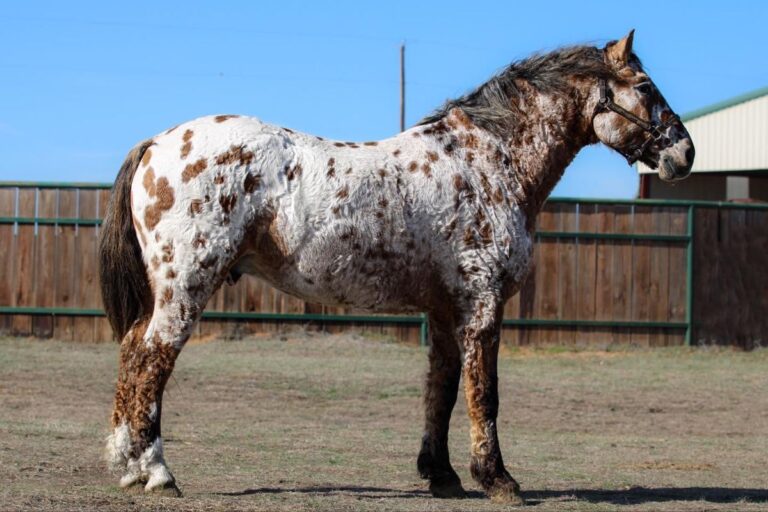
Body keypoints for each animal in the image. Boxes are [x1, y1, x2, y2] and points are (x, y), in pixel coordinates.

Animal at [100, 30, 693, 503]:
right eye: (645, 86)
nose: (684, 153)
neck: (486, 162)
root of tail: (158, 142)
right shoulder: (482, 307)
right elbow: (484, 392)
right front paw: (498, 479)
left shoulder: (447, 311)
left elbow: (443, 389)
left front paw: (443, 476)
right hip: (185, 290)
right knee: (152, 361)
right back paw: (157, 473)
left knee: (130, 355)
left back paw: (127, 466)